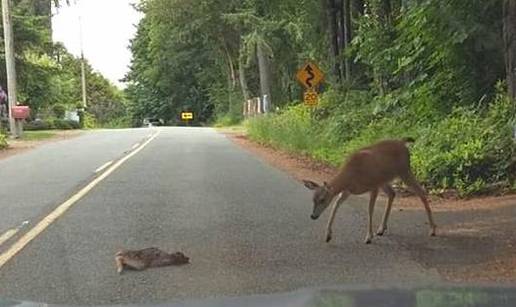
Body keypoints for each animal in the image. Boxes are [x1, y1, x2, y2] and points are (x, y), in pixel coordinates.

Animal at [300, 138, 438, 244]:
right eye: (313, 199)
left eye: (322, 199)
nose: (313, 216)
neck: (351, 175)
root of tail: (403, 142)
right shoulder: (348, 190)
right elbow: (336, 205)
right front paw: (328, 235)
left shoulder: (373, 186)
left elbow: (370, 210)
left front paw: (368, 237)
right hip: (385, 179)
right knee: (392, 193)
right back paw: (381, 229)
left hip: (404, 171)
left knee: (421, 192)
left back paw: (432, 230)